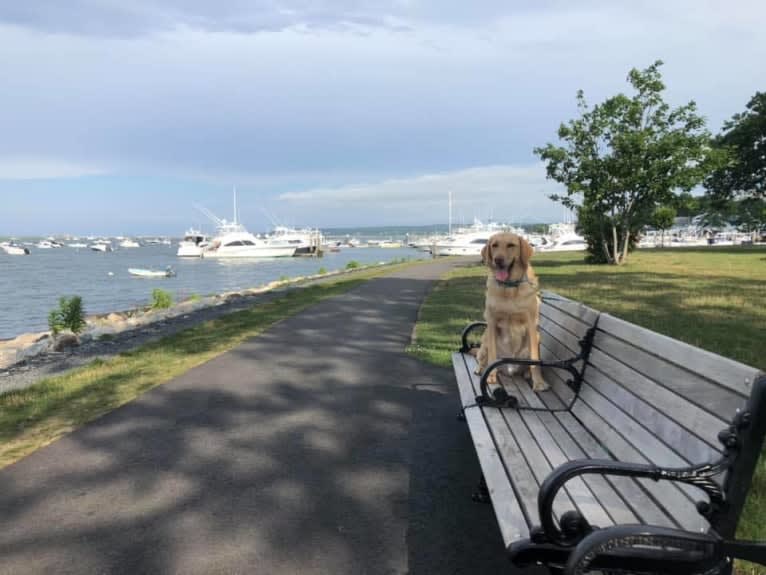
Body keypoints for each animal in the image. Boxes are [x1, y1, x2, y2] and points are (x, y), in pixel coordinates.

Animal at [476, 232, 548, 394]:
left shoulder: (531, 324)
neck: (509, 288)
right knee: (483, 358)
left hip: (537, 337)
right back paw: (480, 370)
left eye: (511, 245)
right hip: (484, 341)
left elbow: (535, 360)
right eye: (494, 245)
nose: (498, 260)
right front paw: (490, 376)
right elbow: (493, 356)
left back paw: (527, 374)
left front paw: (539, 382)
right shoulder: (491, 323)